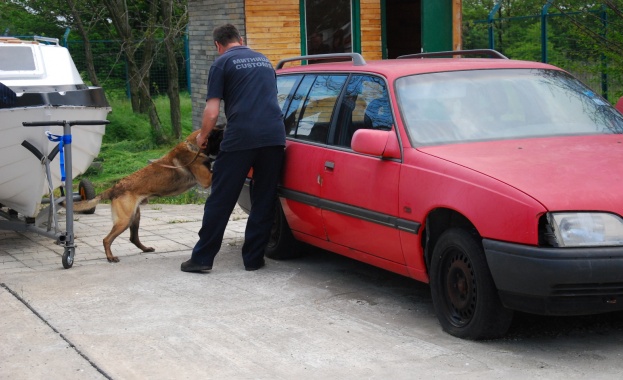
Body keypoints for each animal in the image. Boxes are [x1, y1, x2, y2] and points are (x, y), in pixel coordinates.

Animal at [74, 127, 224, 262]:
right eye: (219, 137)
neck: (193, 146)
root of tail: (114, 188)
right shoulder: (206, 179)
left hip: (135, 217)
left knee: (133, 238)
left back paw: (145, 249)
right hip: (125, 220)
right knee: (107, 239)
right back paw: (110, 257)